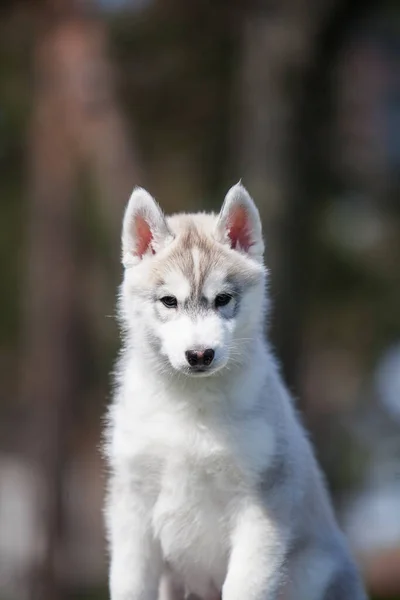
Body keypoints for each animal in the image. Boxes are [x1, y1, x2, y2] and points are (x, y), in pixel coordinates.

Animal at [104, 184, 368, 600]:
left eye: (223, 299)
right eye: (169, 301)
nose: (199, 355)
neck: (192, 404)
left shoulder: (263, 507)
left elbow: (245, 585)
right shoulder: (132, 506)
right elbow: (131, 584)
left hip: (313, 572)